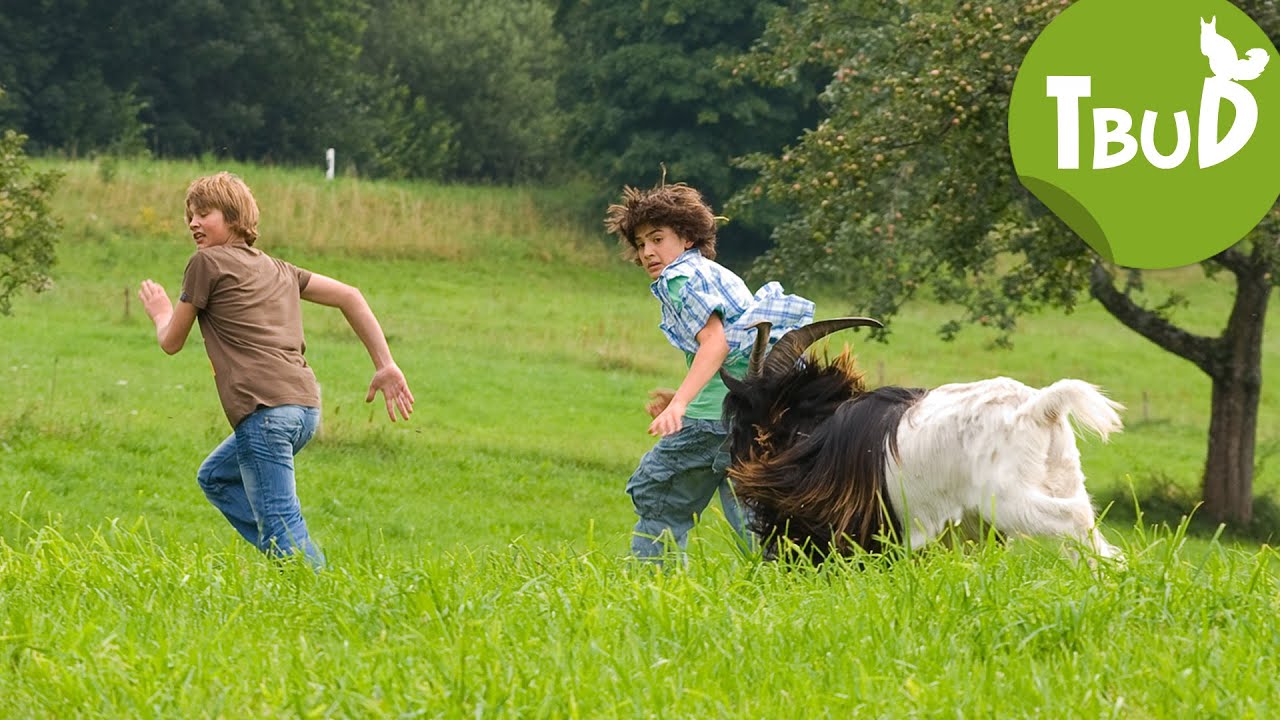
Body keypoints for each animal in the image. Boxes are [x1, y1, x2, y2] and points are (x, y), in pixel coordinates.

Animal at [727, 317, 1126, 561]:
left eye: (745, 421)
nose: (733, 458)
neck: (813, 430)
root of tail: (1038, 407)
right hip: (1062, 476)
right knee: (1087, 526)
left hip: (1010, 497)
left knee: (1071, 518)